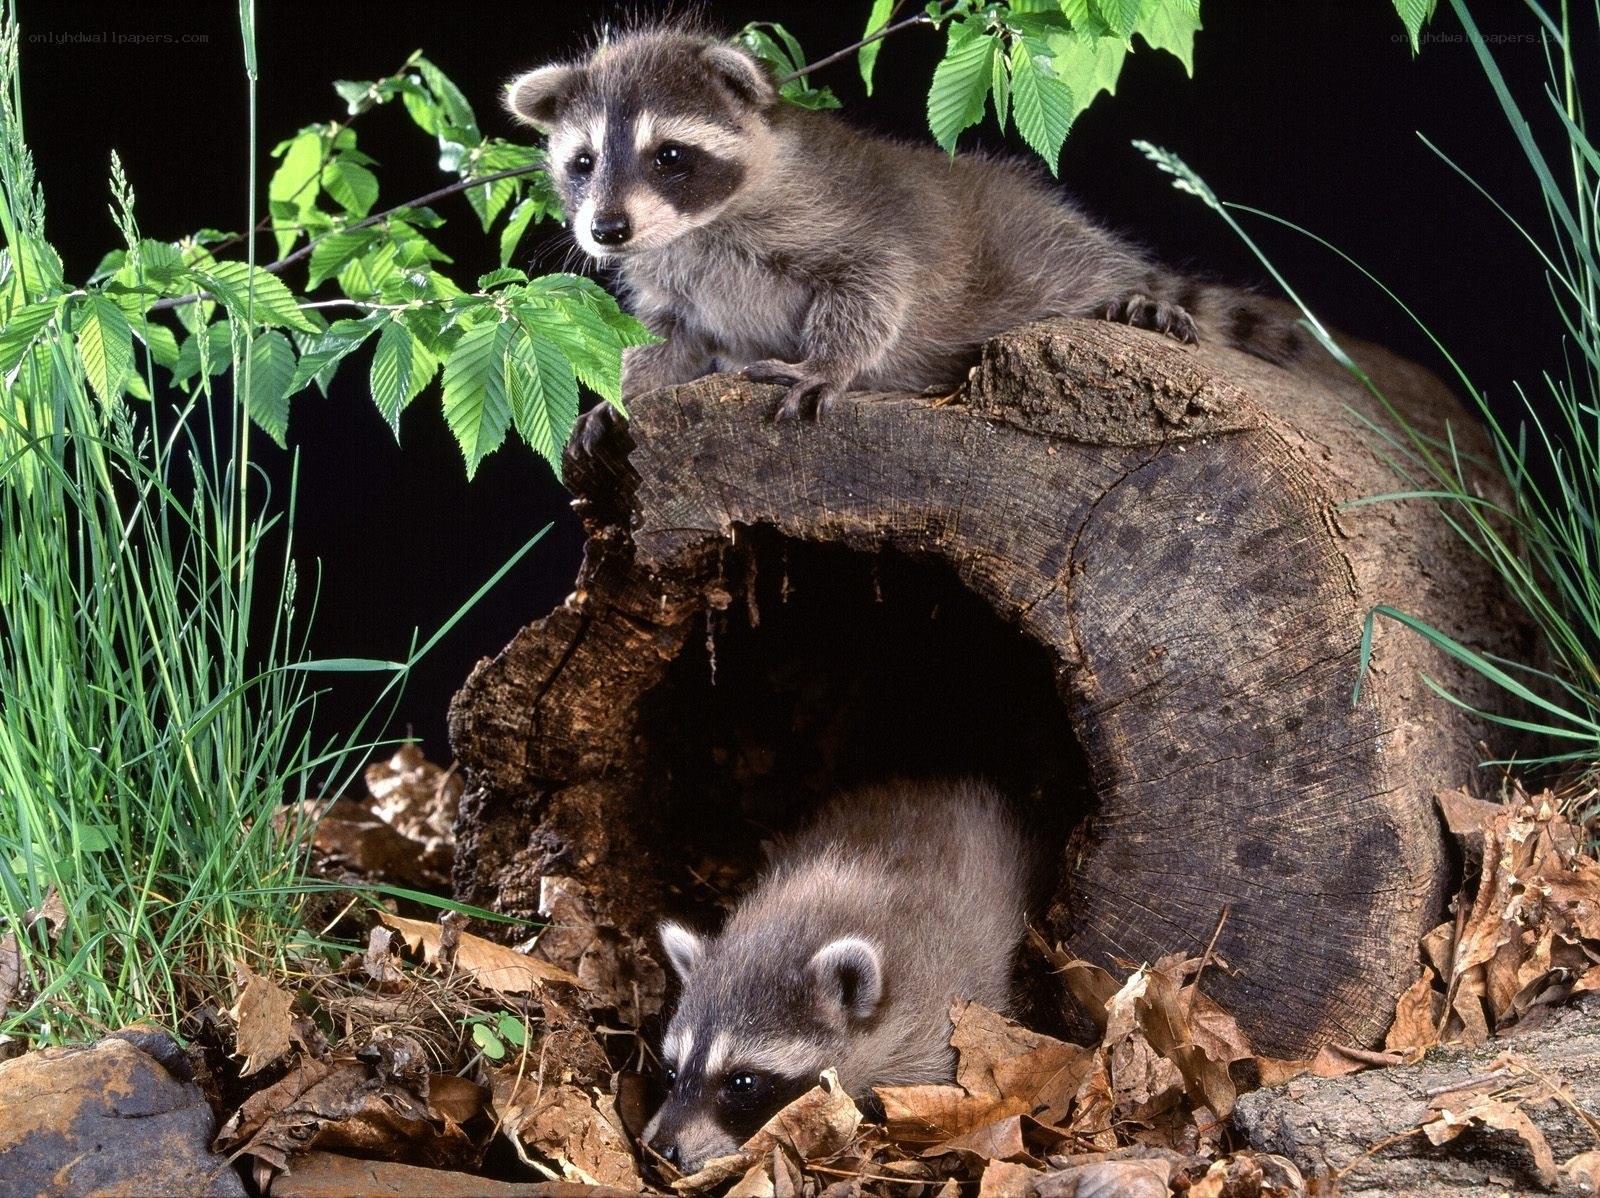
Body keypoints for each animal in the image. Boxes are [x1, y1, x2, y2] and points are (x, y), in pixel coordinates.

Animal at [506, 25, 1304, 425]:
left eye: (669, 156)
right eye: (582, 162)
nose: (607, 230)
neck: (698, 226)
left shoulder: (840, 213)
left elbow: (877, 284)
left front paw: (830, 363)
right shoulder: (677, 281)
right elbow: (671, 339)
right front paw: (629, 391)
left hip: (1038, 245)